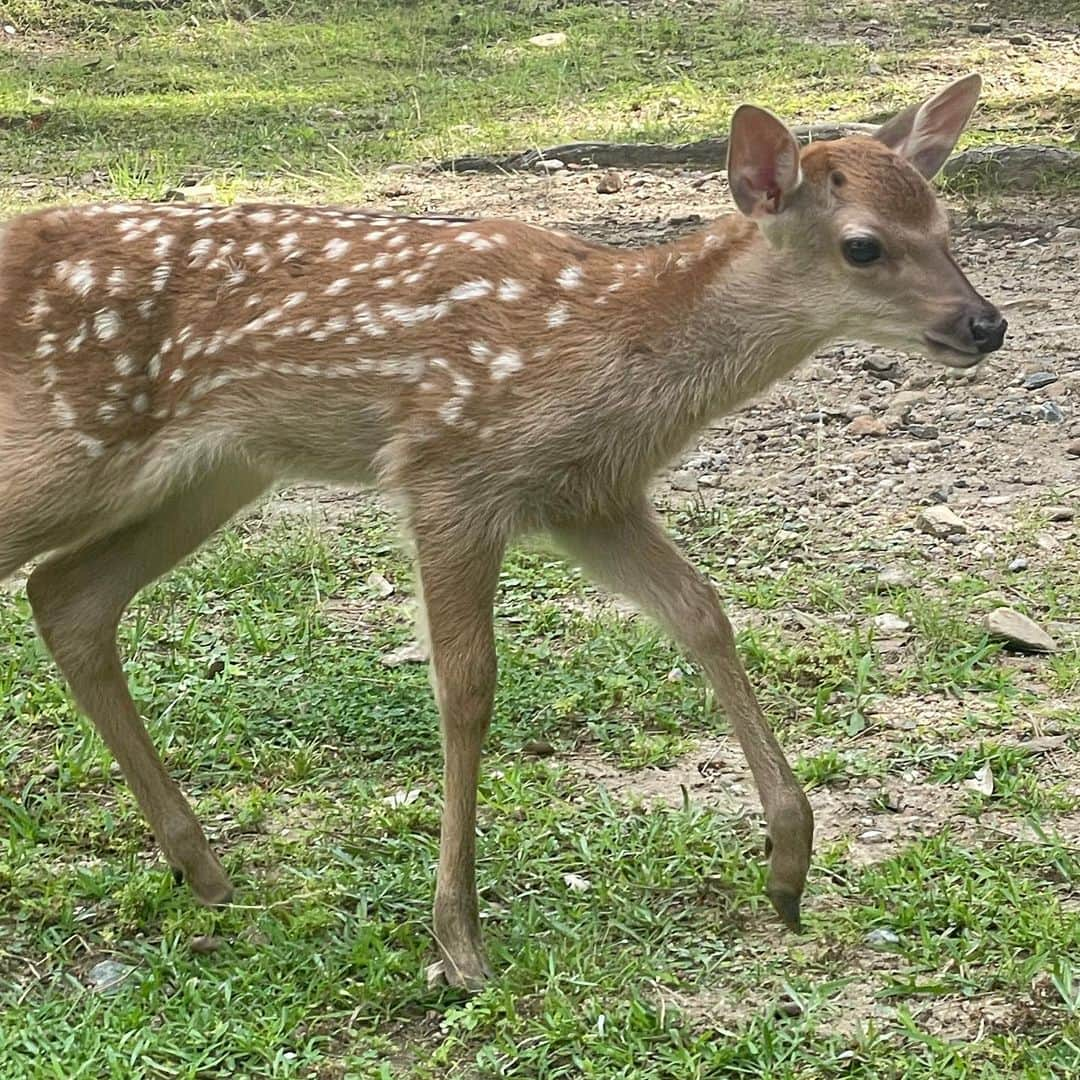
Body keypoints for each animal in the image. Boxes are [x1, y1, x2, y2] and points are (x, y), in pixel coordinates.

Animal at [0, 76, 1002, 989]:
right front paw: (458, 938)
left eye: (947, 225)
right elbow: (468, 687)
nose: (985, 324)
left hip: (220, 469)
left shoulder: (588, 499)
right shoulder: (449, 470)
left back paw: (202, 867)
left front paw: (789, 869)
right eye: (863, 246)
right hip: (79, 443)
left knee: (67, 595)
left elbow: (702, 613)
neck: (613, 351)